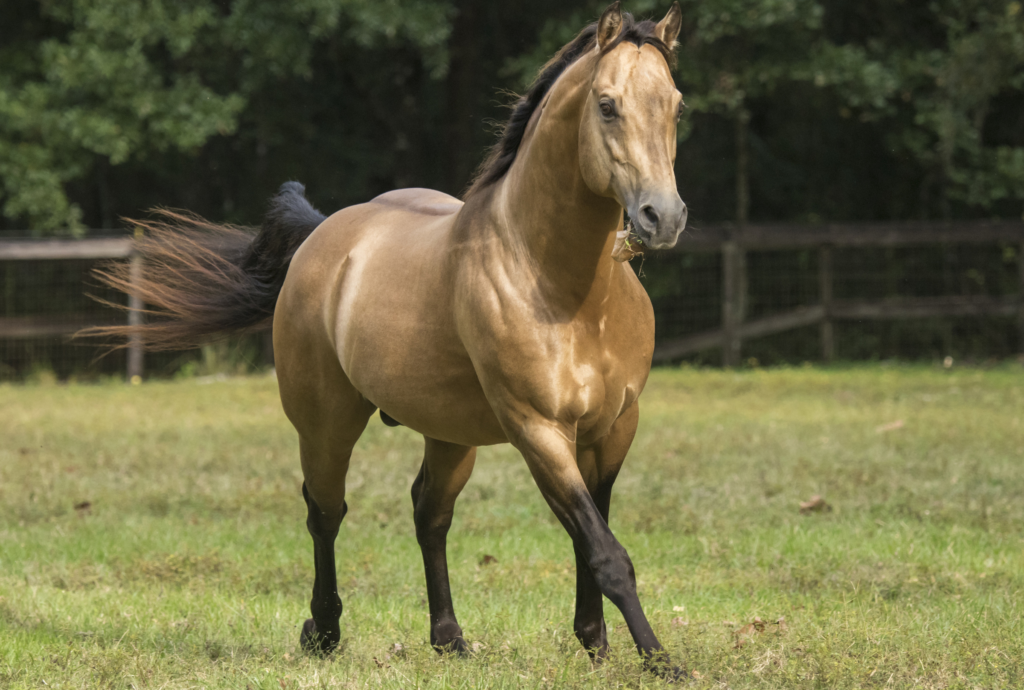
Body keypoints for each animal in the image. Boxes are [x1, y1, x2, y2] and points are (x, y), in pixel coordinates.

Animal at [88, 1, 689, 675]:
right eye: (607, 105)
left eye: (676, 105)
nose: (662, 218)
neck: (564, 287)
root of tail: (325, 233)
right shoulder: (538, 430)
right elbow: (607, 552)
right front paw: (660, 661)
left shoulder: (613, 428)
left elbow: (592, 538)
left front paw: (596, 644)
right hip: (327, 424)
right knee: (325, 511)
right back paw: (323, 631)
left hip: (449, 433)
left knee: (430, 513)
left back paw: (448, 637)